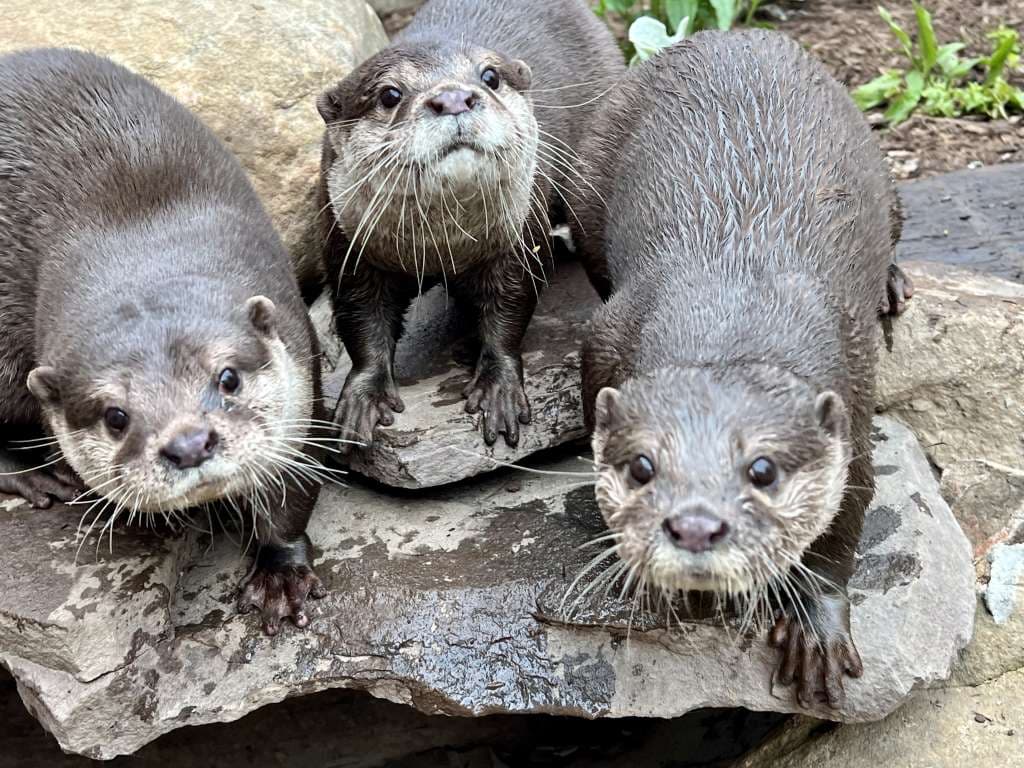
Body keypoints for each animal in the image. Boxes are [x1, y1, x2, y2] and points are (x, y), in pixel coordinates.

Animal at [0, 49, 327, 635]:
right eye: (116, 416)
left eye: (228, 377)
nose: (190, 444)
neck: (138, 233)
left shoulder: (303, 362)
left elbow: (293, 489)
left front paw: (281, 574)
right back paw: (34, 474)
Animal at [315, 0, 624, 449]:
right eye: (390, 94)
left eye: (489, 76)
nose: (453, 98)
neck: (441, 247)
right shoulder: (345, 245)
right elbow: (360, 319)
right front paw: (364, 397)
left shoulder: (519, 241)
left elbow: (509, 309)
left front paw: (498, 388)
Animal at [573, 31, 908, 708]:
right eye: (642, 466)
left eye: (763, 470)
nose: (696, 526)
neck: (738, 303)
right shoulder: (603, 338)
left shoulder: (853, 402)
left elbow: (846, 520)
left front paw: (815, 627)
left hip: (882, 173)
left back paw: (892, 283)